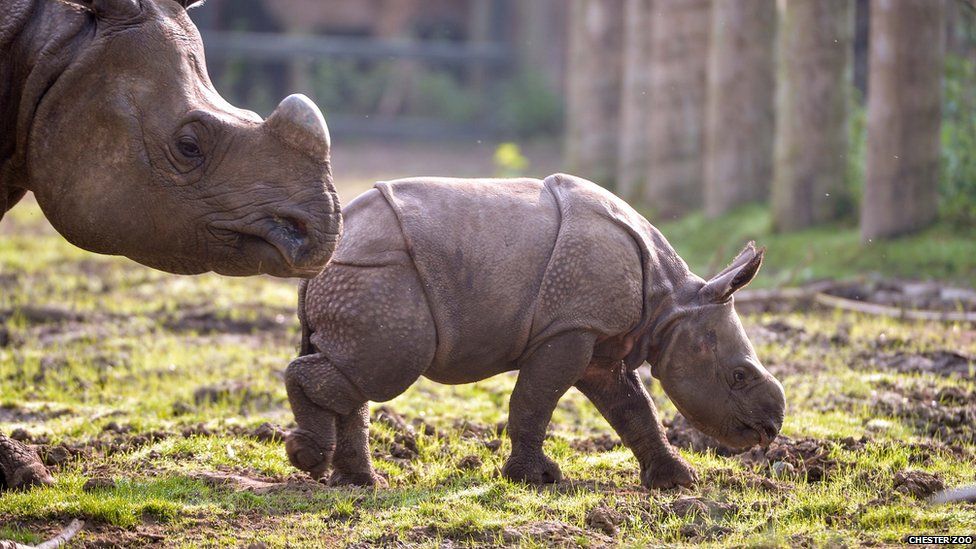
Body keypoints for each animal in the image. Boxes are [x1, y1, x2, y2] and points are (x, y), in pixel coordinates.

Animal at [286, 173, 788, 486]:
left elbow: (633, 409)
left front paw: (679, 482)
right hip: (380, 277)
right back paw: (308, 457)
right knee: (386, 368)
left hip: (367, 280)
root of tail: (327, 254)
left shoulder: (595, 336)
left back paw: (358, 483)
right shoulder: (568, 329)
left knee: (360, 374)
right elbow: (535, 399)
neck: (671, 303)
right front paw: (536, 479)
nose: (769, 431)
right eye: (739, 376)